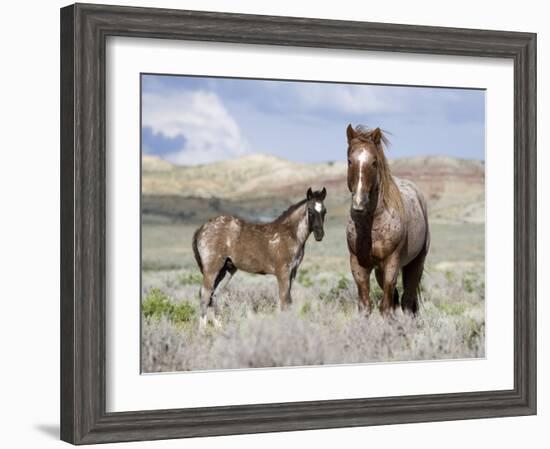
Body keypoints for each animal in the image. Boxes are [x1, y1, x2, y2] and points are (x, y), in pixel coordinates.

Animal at [344, 124, 432, 316]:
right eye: (350, 161)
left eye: (374, 162)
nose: (359, 204)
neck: (372, 225)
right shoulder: (358, 265)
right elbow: (365, 306)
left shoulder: (392, 263)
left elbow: (385, 307)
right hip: (379, 270)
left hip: (415, 264)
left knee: (407, 301)